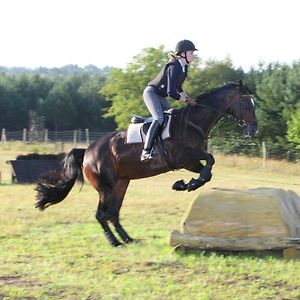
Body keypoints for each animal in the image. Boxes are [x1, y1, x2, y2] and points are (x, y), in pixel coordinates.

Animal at [35, 79, 258, 246]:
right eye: (246, 104)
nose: (253, 130)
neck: (192, 122)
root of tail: (87, 151)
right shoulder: (183, 157)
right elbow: (210, 160)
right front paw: (186, 184)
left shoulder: (190, 162)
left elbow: (208, 170)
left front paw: (186, 184)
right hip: (104, 186)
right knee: (101, 214)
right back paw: (114, 242)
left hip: (121, 183)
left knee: (113, 213)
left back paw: (128, 239)